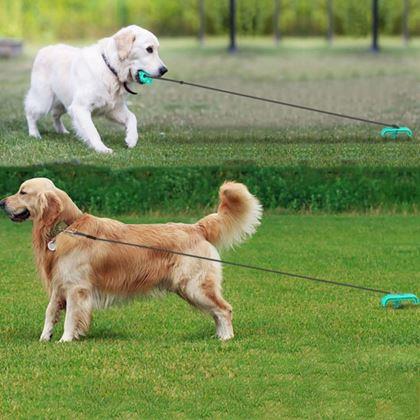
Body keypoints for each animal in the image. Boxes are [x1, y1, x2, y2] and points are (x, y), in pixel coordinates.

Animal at [0, 177, 262, 342]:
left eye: (23, 192)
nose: (1, 202)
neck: (67, 228)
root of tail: (197, 227)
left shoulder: (77, 288)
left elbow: (71, 318)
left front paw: (65, 340)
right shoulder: (59, 285)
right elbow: (50, 312)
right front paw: (44, 338)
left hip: (195, 286)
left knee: (224, 309)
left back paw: (226, 338)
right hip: (191, 289)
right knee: (217, 312)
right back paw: (218, 336)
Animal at [24, 24, 167, 153]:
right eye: (149, 49)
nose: (164, 70)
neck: (111, 69)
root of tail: (43, 49)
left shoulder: (113, 108)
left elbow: (132, 118)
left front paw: (131, 139)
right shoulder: (80, 107)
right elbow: (92, 131)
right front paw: (101, 148)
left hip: (63, 103)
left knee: (55, 114)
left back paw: (62, 131)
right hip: (43, 101)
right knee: (30, 112)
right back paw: (34, 134)